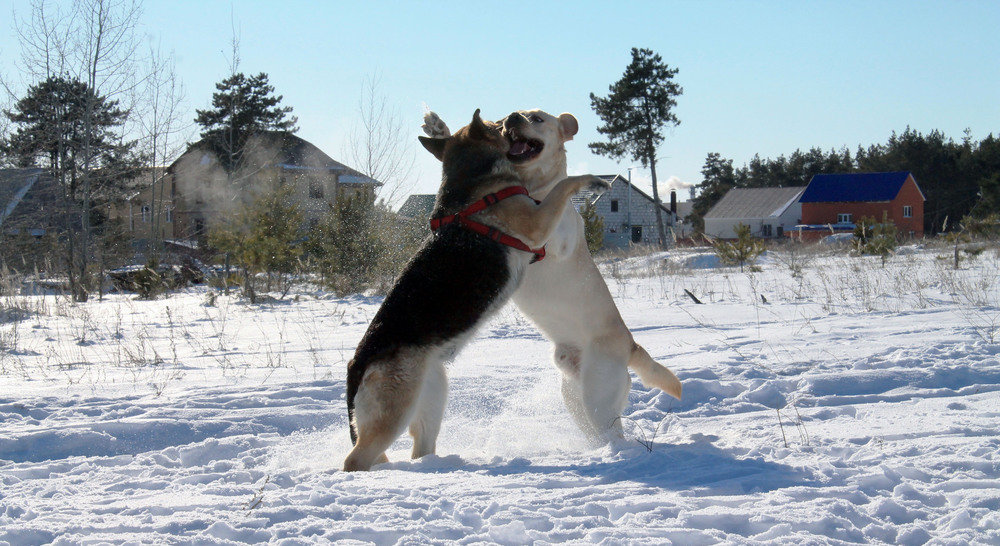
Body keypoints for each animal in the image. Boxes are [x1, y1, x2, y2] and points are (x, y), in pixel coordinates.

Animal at [344, 109, 608, 468]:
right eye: (500, 122)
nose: (513, 116)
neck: (468, 179)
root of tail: (357, 364)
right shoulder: (536, 221)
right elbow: (565, 185)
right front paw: (593, 179)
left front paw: (436, 126)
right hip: (393, 414)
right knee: (355, 460)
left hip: (432, 397)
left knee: (420, 448)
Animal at [422, 108, 680, 440]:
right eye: (505, 118)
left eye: (536, 118)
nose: (512, 117)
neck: (530, 186)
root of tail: (631, 345)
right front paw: (437, 127)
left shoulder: (552, 233)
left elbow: (558, 194)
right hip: (573, 395)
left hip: (597, 397)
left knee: (614, 435)